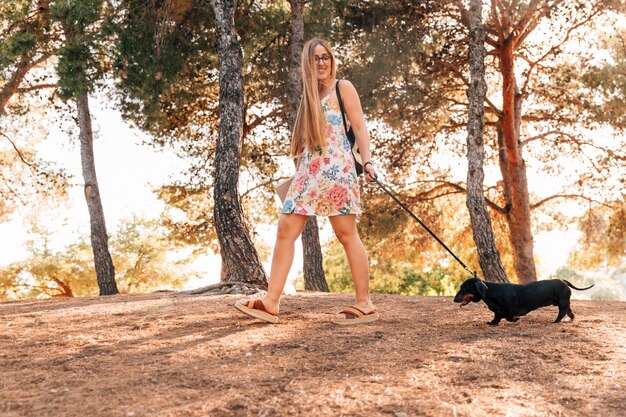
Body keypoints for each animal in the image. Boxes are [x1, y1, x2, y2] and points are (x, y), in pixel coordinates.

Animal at [454, 276, 588, 324]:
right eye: (461, 287)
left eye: (465, 288)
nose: (454, 300)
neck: (493, 292)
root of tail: (564, 281)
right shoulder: (497, 312)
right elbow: (497, 317)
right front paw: (492, 323)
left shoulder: (511, 309)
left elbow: (509, 317)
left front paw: (515, 319)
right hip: (565, 303)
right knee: (569, 312)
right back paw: (571, 318)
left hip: (562, 302)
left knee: (562, 312)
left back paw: (555, 321)